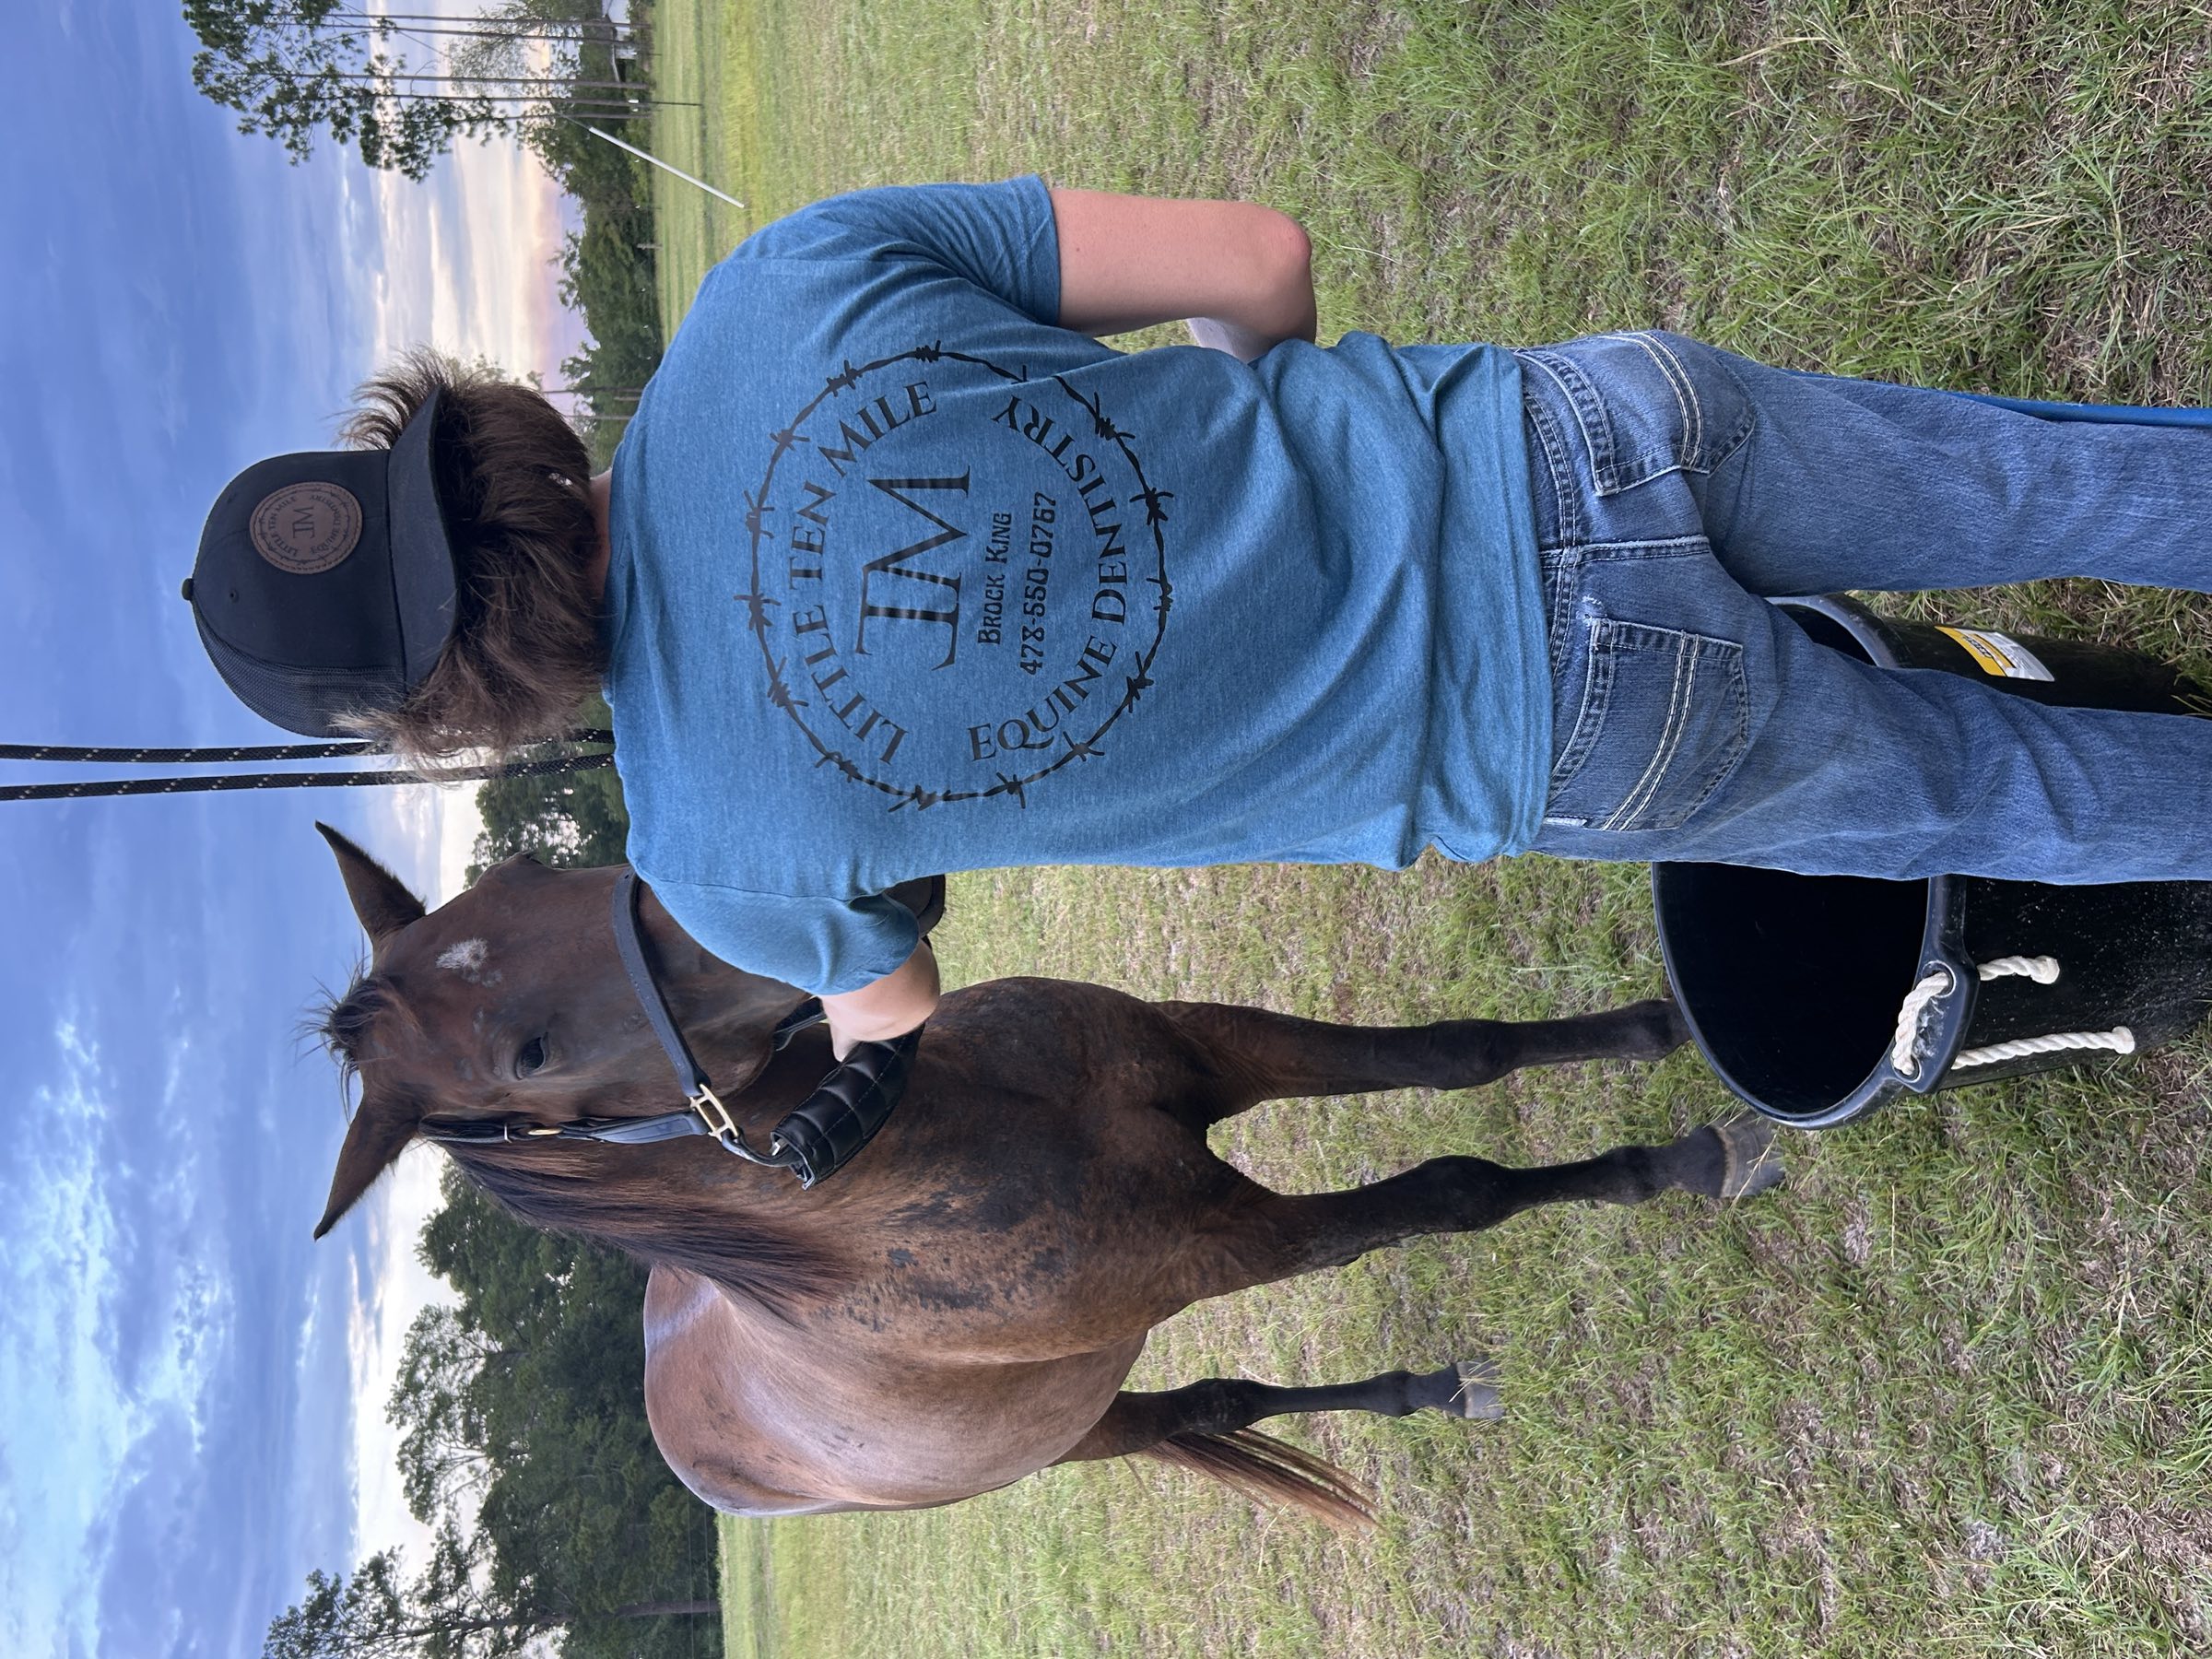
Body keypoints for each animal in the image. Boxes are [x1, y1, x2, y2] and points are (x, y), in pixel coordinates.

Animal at [312, 825, 1783, 1525]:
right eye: (530, 1053)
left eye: (524, 868)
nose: (842, 895)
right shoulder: (1231, 1240)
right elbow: (1454, 1191)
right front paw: (1687, 1159)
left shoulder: (1214, 1052)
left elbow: (1458, 1057)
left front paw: (1663, 1027)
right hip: (1090, 1428)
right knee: (1207, 1407)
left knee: (1232, 1399)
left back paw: (1426, 1391)